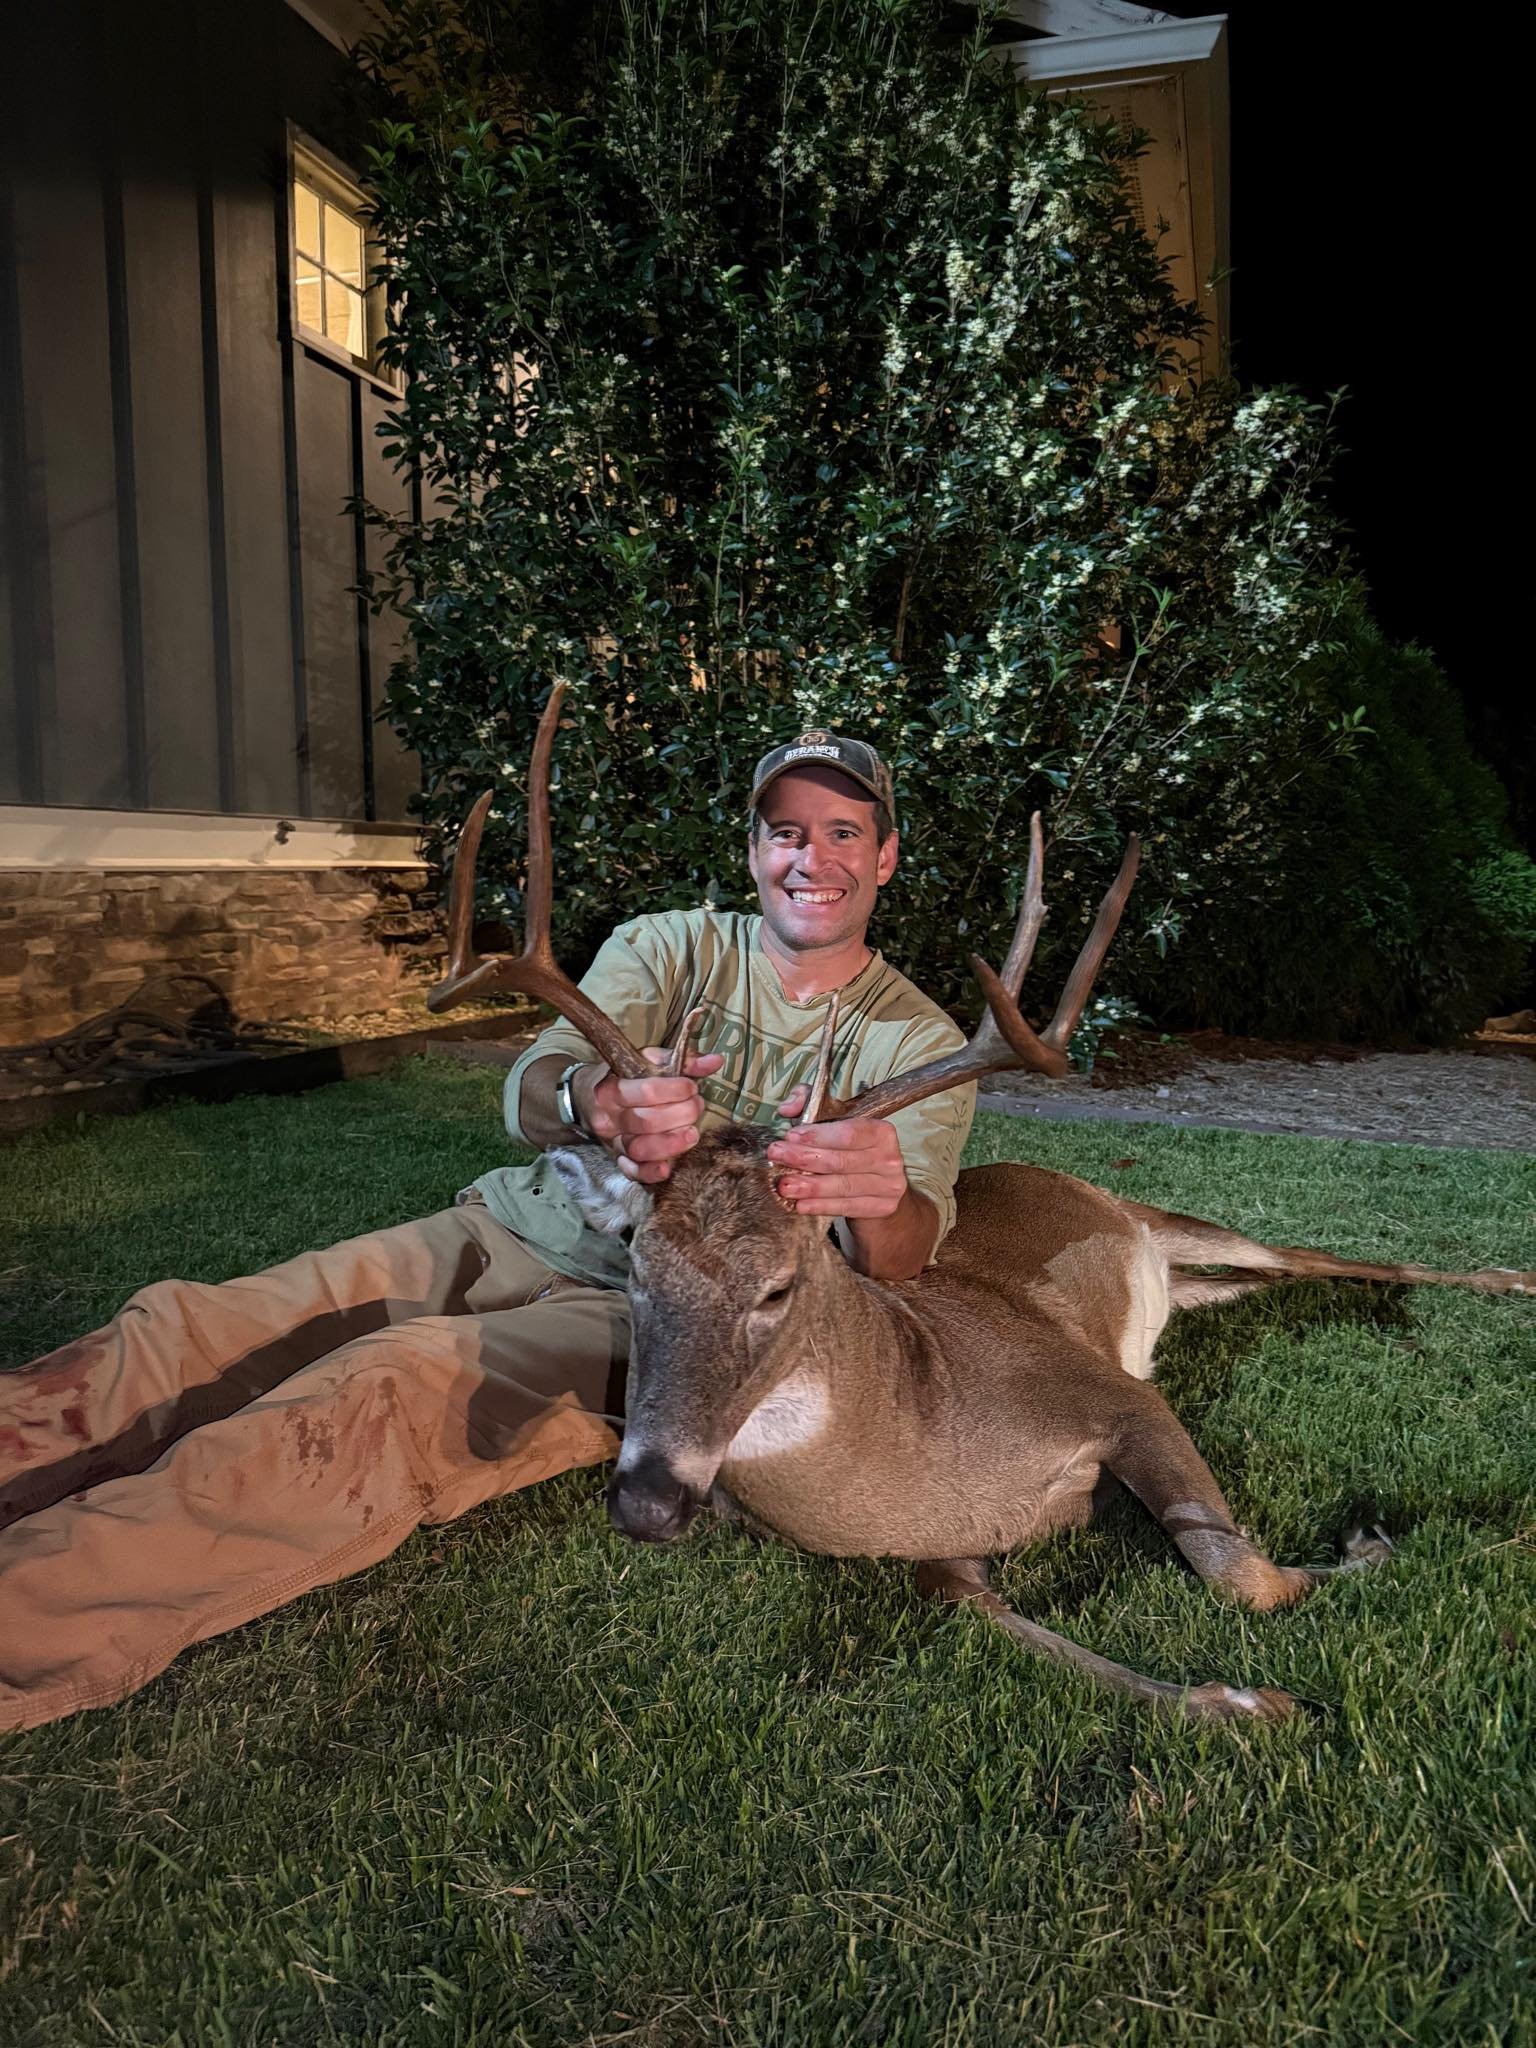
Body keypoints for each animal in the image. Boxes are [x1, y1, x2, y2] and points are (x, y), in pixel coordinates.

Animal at [430, 687, 1534, 1722]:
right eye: (635, 1266)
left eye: (780, 1287)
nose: (648, 1503)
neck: (905, 1445)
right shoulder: (950, 1542)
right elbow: (967, 1599)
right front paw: (1239, 1702)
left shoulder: (1115, 1395)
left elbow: (1240, 1573)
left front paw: (1371, 1543)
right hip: (1179, 1282)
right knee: (1235, 1285)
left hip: (1171, 1221)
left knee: (1317, 1256)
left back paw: (1505, 1276)